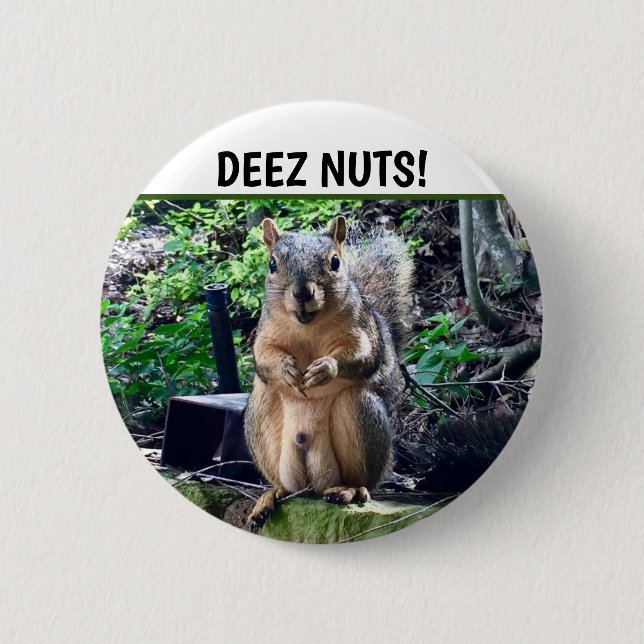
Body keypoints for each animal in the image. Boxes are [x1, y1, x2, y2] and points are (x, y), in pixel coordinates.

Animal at [244, 215, 413, 528]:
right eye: (272, 264)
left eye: (335, 262)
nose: (302, 292)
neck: (308, 326)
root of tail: (314, 484)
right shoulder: (265, 333)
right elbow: (263, 358)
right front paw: (286, 368)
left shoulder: (362, 330)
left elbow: (364, 355)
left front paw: (325, 368)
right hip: (261, 415)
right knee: (286, 486)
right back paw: (270, 495)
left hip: (360, 413)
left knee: (361, 480)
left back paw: (349, 490)